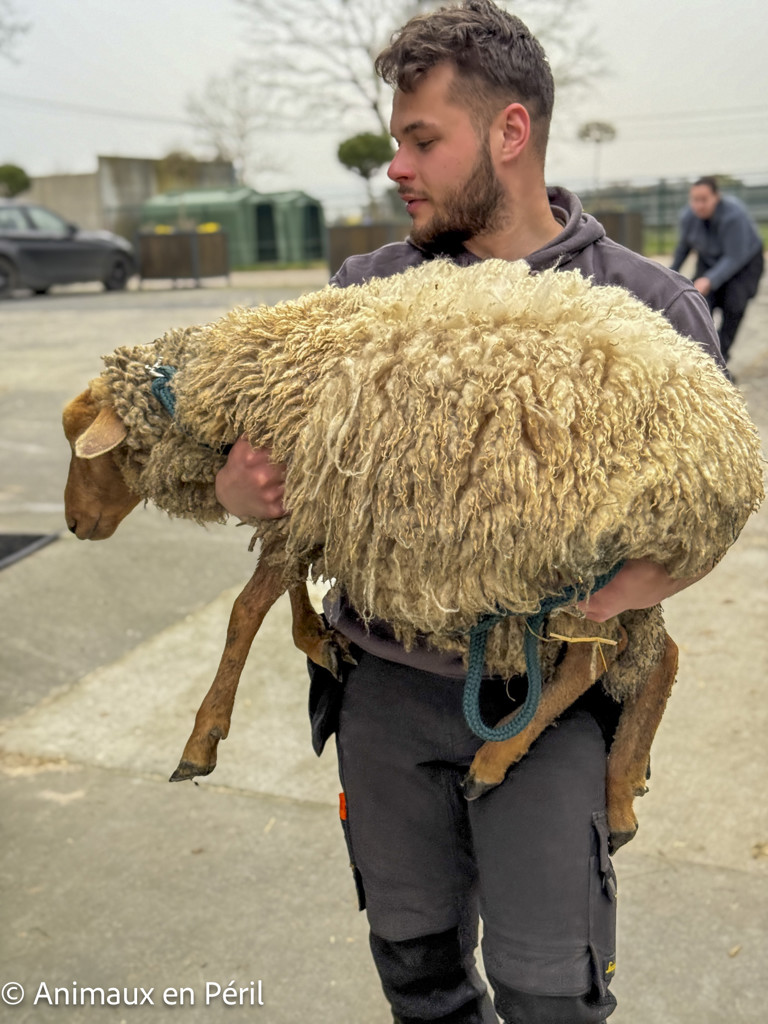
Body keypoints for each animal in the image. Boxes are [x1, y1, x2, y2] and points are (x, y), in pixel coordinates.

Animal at [63, 258, 764, 851]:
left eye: (83, 447)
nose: (72, 524)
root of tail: (734, 442)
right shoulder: (312, 505)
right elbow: (280, 584)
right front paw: (318, 639)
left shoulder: (311, 492)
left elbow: (243, 611)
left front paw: (202, 737)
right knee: (655, 655)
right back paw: (621, 793)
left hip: (579, 555)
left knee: (591, 665)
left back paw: (493, 763)